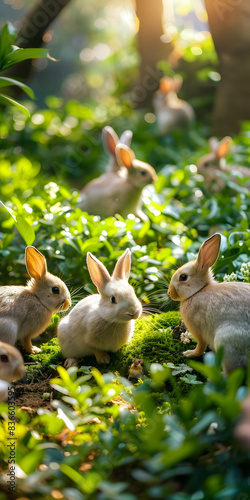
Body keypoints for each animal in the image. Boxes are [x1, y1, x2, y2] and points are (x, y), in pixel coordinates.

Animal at [168, 232, 250, 374]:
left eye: (183, 277)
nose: (169, 293)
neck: (198, 291)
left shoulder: (199, 330)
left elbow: (200, 346)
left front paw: (189, 353)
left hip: (226, 343)